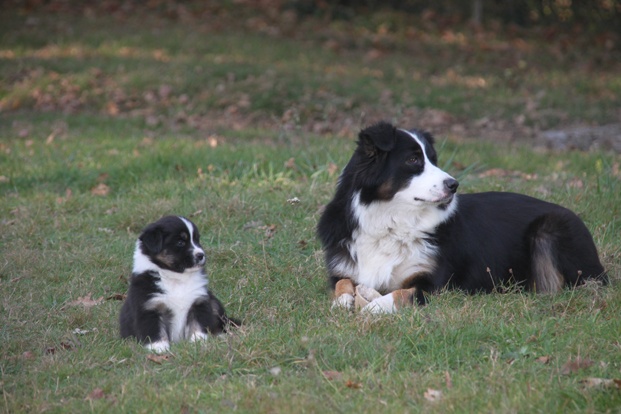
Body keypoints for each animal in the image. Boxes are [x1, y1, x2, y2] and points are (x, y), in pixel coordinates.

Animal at [120, 215, 236, 350]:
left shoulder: (198, 301)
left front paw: (198, 342)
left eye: (197, 240)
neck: (177, 278)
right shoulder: (149, 307)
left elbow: (197, 325)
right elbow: (154, 329)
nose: (201, 255)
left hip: (214, 303)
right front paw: (159, 348)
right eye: (180, 242)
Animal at [318, 121, 608, 312]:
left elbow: (401, 292)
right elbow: (342, 282)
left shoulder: (434, 283)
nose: (453, 185)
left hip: (550, 228)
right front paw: (344, 301)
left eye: (433, 159)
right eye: (413, 160)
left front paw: (373, 307)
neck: (391, 221)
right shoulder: (345, 267)